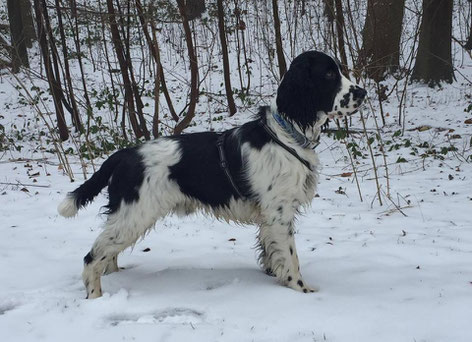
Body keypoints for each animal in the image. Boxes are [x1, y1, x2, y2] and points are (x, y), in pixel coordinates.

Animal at [58, 51, 368, 300]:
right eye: (329, 74)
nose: (363, 93)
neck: (285, 134)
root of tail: (125, 154)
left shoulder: (269, 217)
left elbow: (272, 253)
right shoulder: (279, 212)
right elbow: (291, 258)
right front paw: (302, 290)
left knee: (106, 254)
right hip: (134, 214)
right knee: (91, 258)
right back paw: (96, 297)